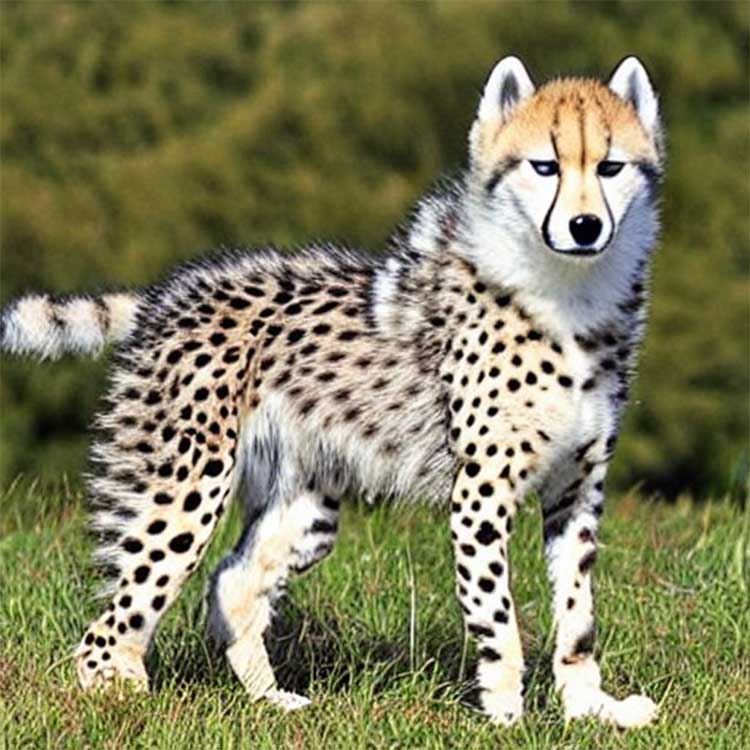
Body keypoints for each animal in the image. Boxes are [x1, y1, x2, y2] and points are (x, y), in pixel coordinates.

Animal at [0, 56, 663, 727]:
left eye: (610, 167)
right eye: (544, 166)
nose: (585, 226)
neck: (571, 292)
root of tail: (173, 292)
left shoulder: (577, 489)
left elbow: (578, 615)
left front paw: (590, 708)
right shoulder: (481, 493)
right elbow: (495, 615)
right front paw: (506, 717)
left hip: (307, 505)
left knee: (231, 584)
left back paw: (271, 701)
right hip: (186, 490)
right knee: (113, 623)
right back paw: (126, 702)